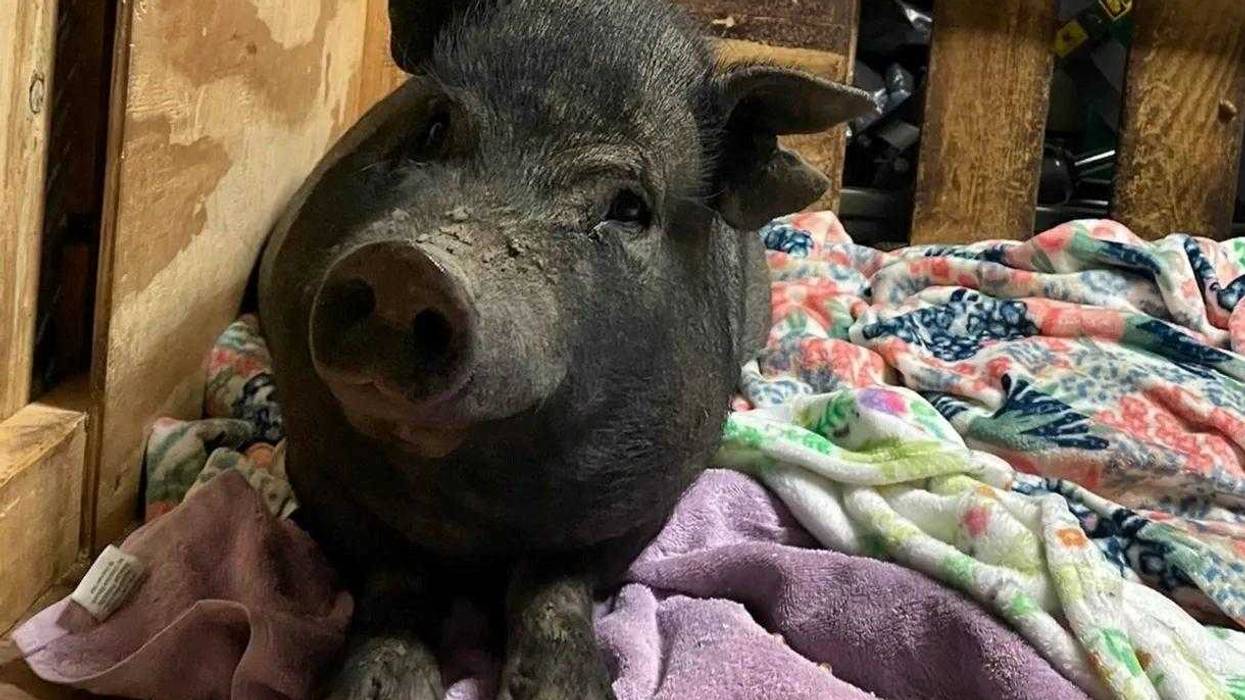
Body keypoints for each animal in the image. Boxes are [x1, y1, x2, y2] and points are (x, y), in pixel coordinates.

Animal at [257, 1, 871, 698]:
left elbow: (553, 583)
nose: (407, 270)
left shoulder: (649, 494)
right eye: (435, 127)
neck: (465, 512)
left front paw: (568, 686)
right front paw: (380, 688)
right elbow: (394, 574)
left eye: (629, 208)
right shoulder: (311, 462)